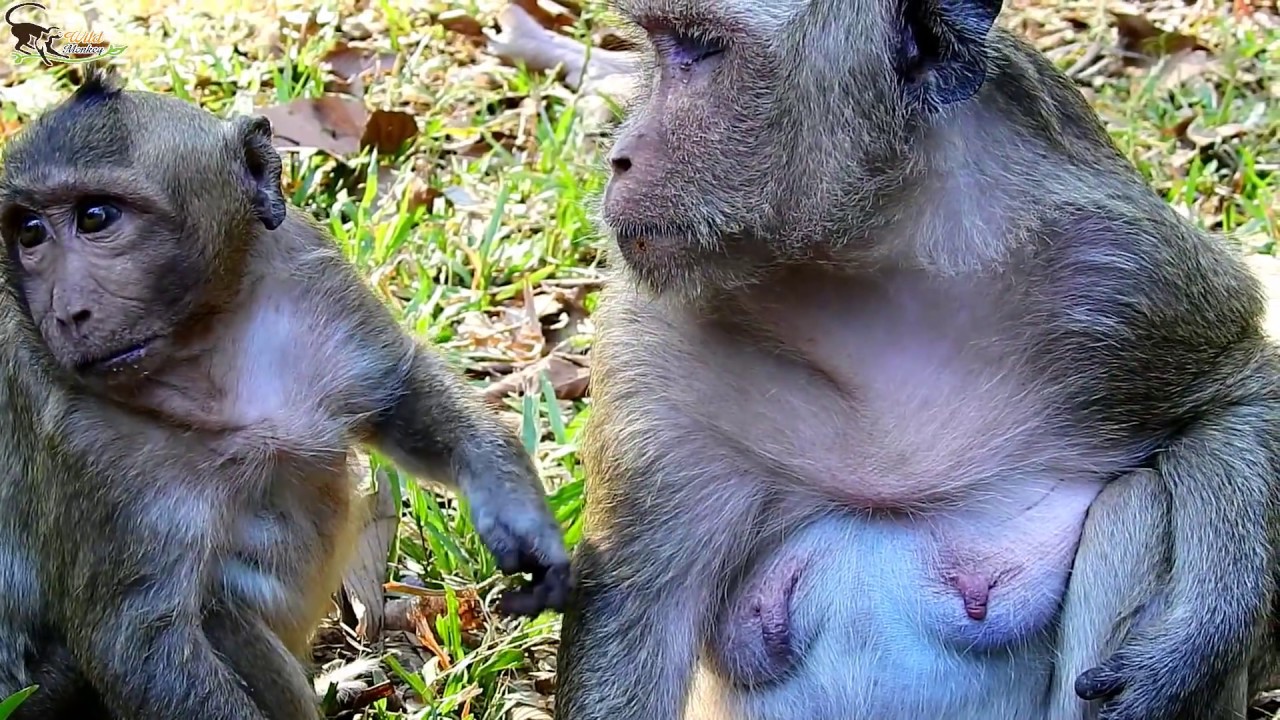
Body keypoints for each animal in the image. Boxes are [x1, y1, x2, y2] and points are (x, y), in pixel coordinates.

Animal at [0, 67, 571, 719]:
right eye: (31, 232)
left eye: (96, 216)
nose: (67, 311)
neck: (205, 348)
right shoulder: (81, 440)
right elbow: (137, 642)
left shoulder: (313, 273)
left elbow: (403, 392)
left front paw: (521, 521)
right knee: (219, 616)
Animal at [553, 0, 1280, 719]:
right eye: (661, 45)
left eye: (702, 48)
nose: (617, 158)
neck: (865, 265)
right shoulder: (653, 341)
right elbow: (639, 617)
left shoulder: (1120, 276)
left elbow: (1242, 388)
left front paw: (1200, 636)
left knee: (1141, 504)